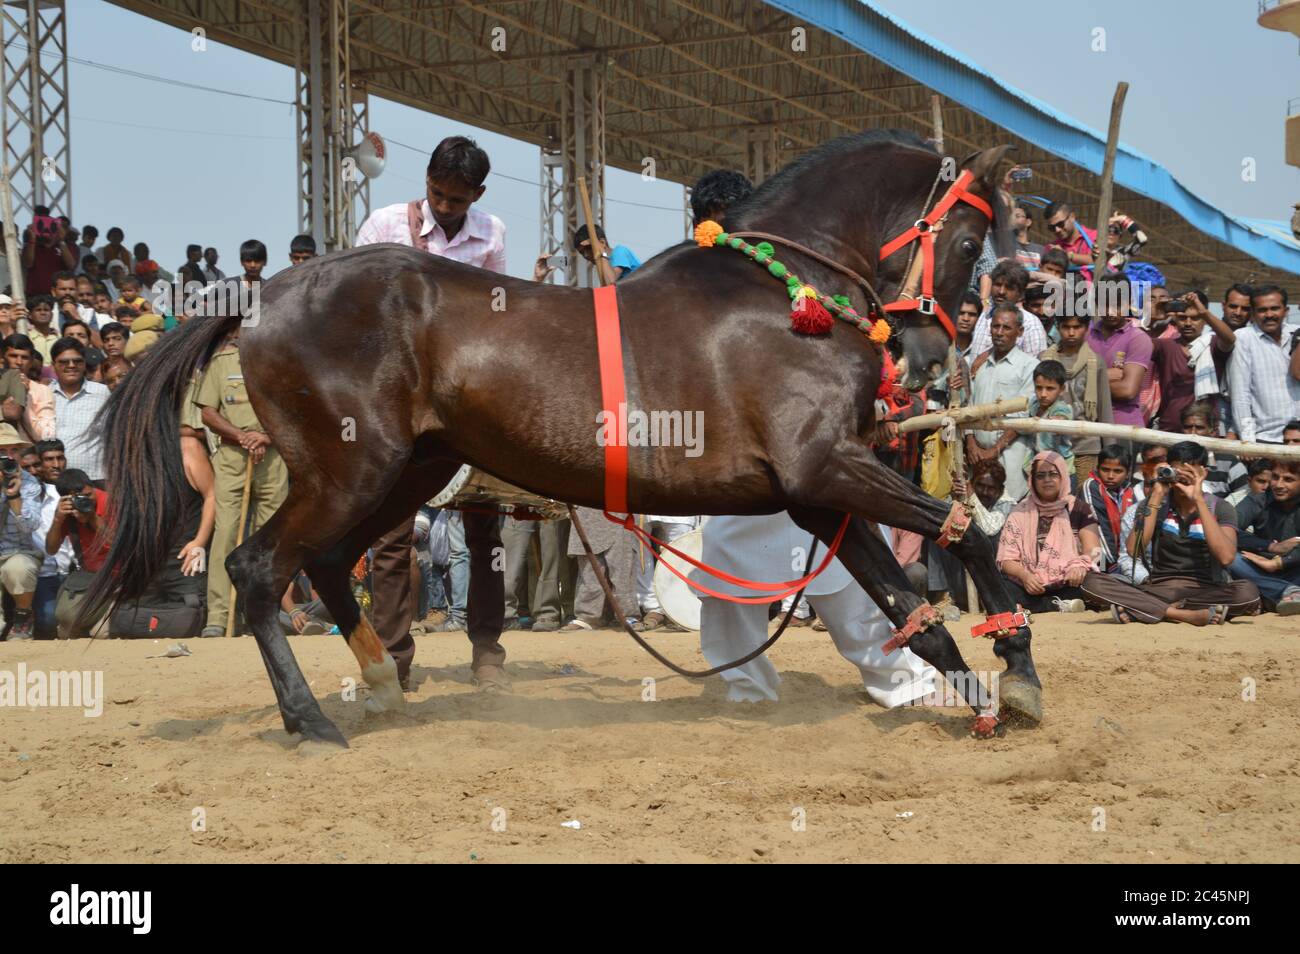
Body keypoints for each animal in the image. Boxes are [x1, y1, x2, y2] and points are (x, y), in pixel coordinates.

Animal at [86, 130, 1040, 748]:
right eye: (968, 242)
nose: (928, 359)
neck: (781, 290)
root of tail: (264, 297)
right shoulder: (826, 470)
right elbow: (973, 536)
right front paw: (1015, 669)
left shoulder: (816, 493)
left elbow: (917, 592)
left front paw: (991, 688)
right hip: (351, 471)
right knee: (257, 569)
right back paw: (311, 718)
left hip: (405, 470)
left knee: (319, 565)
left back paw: (383, 687)